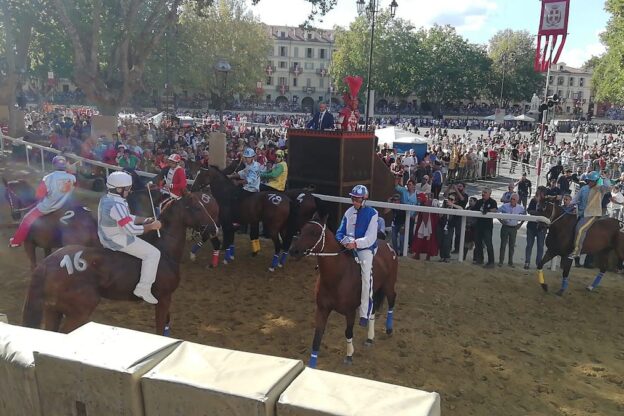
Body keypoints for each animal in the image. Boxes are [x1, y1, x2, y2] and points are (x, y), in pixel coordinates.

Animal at [22, 192, 221, 334]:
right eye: (197, 208)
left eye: (204, 205)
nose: (214, 229)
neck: (164, 249)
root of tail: (49, 263)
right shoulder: (164, 298)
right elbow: (159, 328)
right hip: (79, 311)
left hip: (53, 310)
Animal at [288, 214, 398, 368]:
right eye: (302, 229)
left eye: (314, 233)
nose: (293, 251)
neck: (337, 277)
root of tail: (388, 246)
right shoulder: (322, 309)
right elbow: (317, 337)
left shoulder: (350, 312)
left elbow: (348, 332)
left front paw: (349, 355)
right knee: (372, 310)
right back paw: (370, 338)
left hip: (388, 285)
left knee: (392, 299)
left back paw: (388, 329)